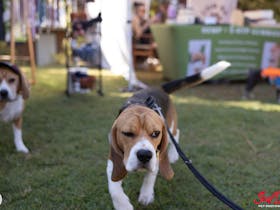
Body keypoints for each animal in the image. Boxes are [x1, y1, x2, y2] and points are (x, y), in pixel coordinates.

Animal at [106, 61, 230, 210]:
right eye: (127, 133)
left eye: (156, 133)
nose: (144, 155)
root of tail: (159, 87)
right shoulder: (114, 161)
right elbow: (114, 187)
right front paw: (123, 205)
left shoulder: (157, 155)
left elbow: (150, 176)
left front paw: (146, 195)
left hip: (169, 126)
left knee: (177, 134)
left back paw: (173, 155)